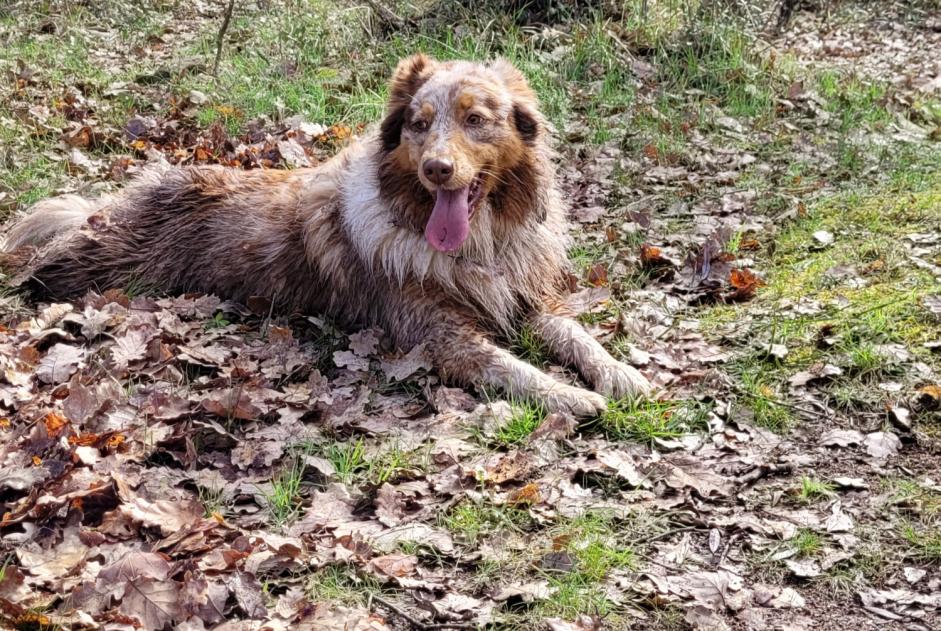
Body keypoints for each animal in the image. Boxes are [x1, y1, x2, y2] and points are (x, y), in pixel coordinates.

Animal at [1, 56, 648, 418]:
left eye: (475, 120)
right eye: (418, 124)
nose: (437, 169)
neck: (477, 245)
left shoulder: (527, 298)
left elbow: (578, 336)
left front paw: (622, 375)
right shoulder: (438, 336)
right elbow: (508, 365)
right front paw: (569, 396)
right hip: (103, 263)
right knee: (42, 262)